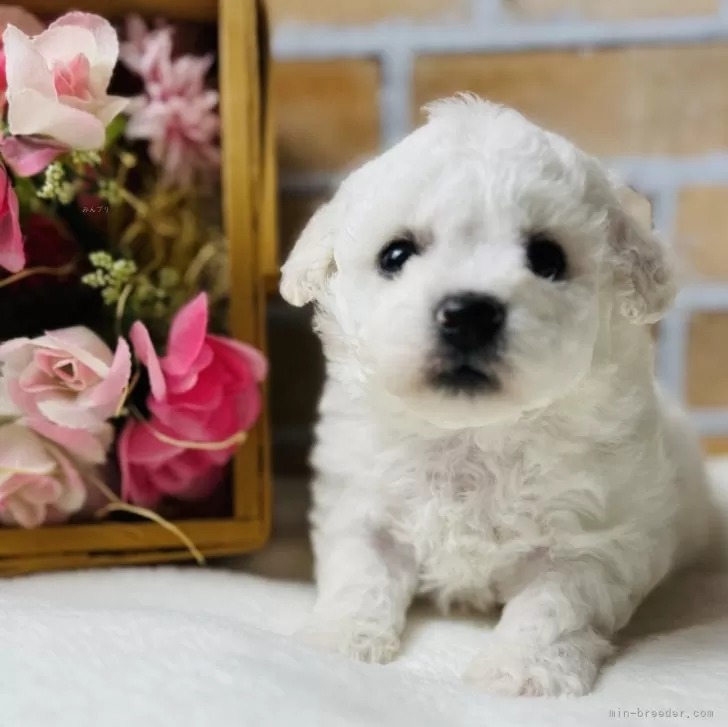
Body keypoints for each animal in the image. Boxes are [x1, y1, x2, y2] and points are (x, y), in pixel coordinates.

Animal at [278, 94, 716, 696]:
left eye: (547, 258)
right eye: (395, 255)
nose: (468, 313)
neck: (473, 433)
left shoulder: (591, 539)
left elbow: (553, 606)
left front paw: (524, 672)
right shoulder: (362, 506)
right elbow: (360, 573)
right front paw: (341, 638)